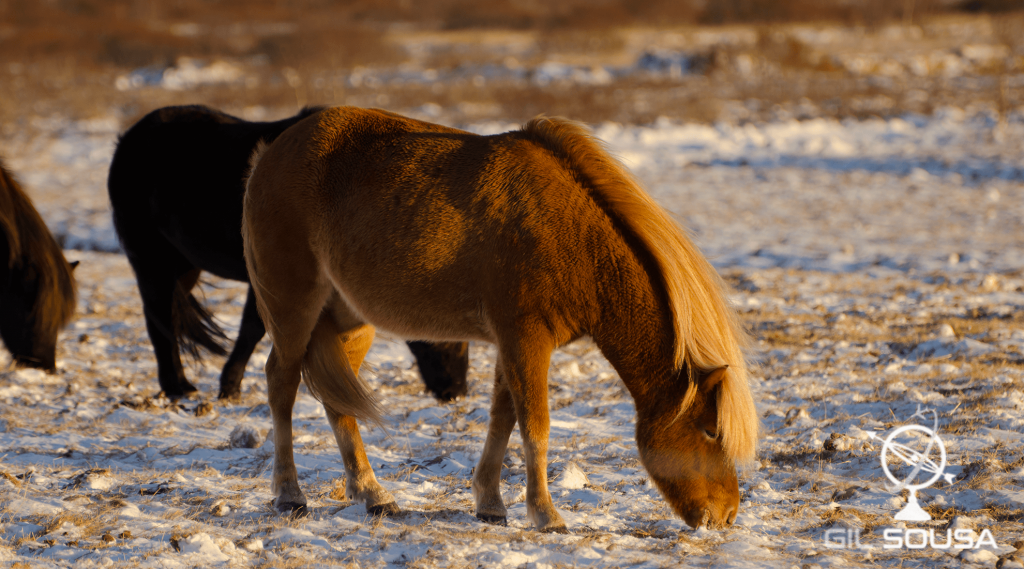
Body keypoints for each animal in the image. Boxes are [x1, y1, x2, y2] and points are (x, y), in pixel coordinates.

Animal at [107, 106, 468, 399]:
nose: (456, 391)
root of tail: (127, 140)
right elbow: (254, 329)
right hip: (150, 261)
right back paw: (178, 388)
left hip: (183, 266)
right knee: (160, 320)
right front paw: (230, 387)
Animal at [241, 107, 761, 532]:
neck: (574, 236)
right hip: (294, 308)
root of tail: (271, 152)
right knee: (281, 382)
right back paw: (289, 495)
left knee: (335, 399)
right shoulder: (526, 340)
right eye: (710, 430)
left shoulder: (512, 344)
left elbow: (503, 418)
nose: (726, 515)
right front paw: (546, 515)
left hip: (349, 320)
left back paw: (373, 495)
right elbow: (535, 427)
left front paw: (490, 503)